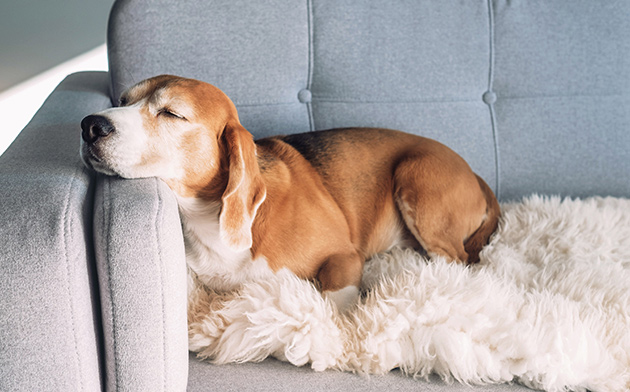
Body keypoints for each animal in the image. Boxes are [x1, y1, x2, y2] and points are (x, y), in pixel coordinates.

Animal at [80, 75, 504, 310]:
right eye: (122, 101)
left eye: (171, 113)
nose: (89, 125)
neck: (206, 218)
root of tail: (473, 173)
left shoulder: (343, 256)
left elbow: (335, 299)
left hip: (415, 176)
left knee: (456, 260)